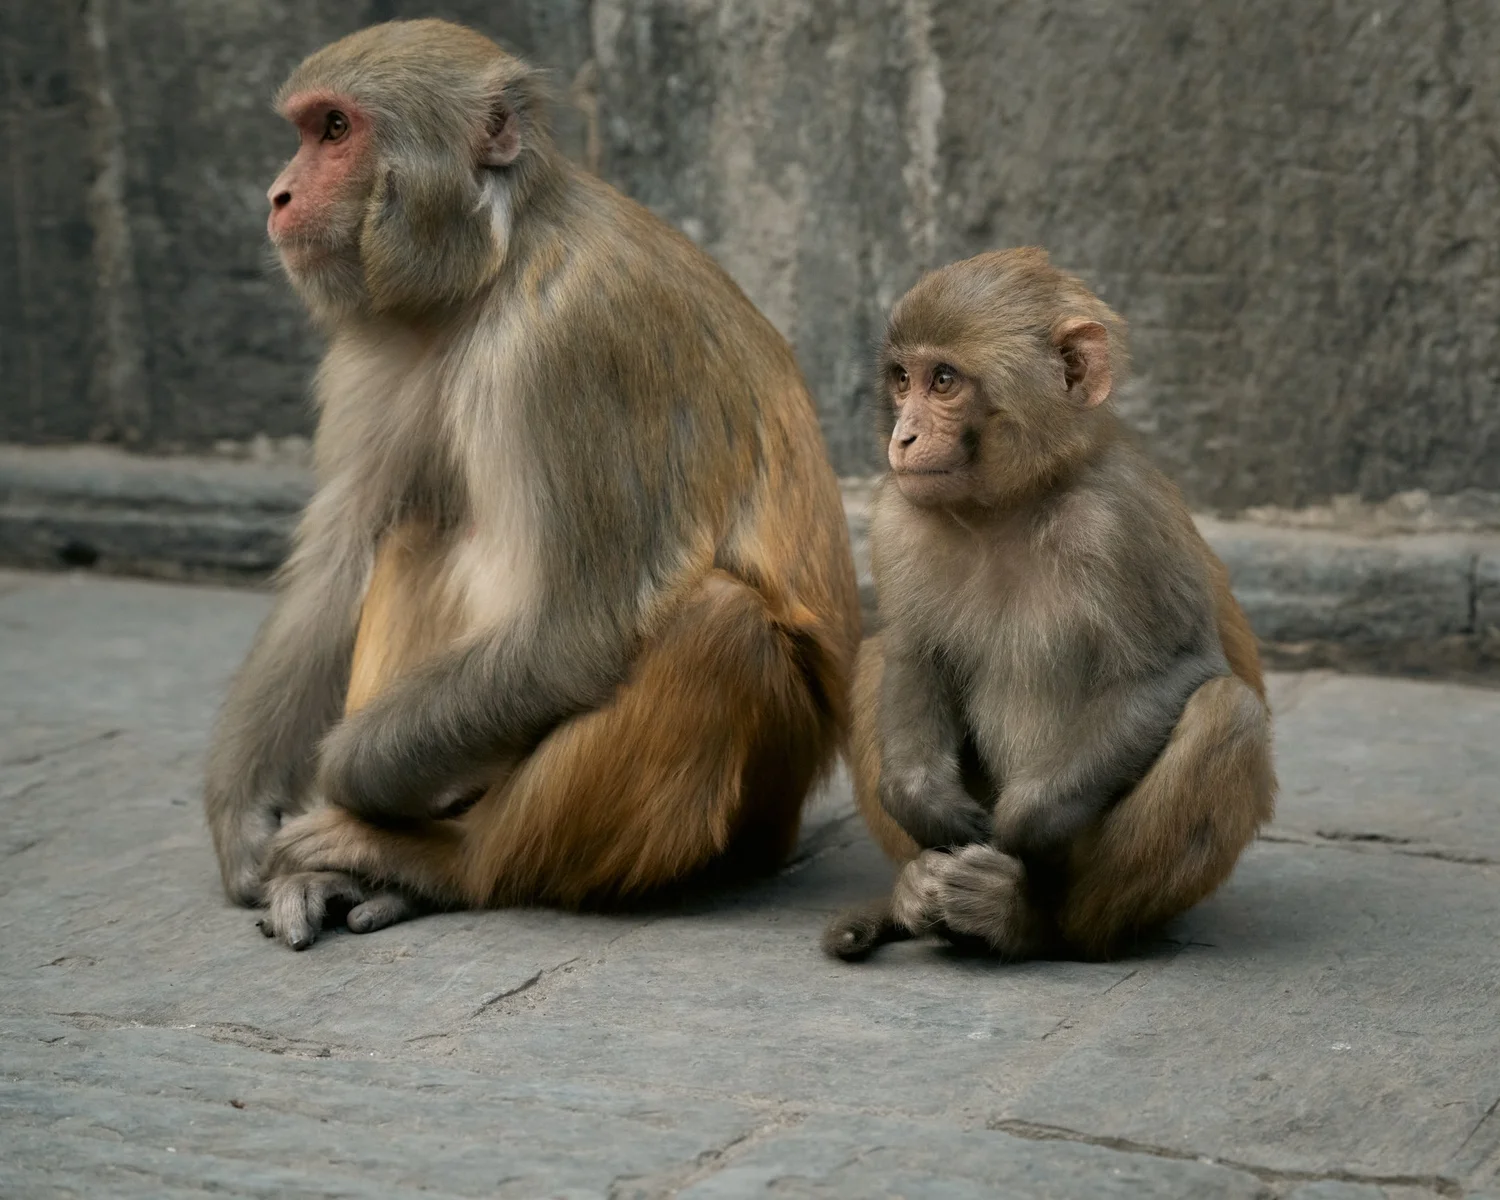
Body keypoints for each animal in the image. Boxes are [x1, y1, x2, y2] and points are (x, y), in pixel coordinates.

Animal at [201, 19, 860, 949]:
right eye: (305, 129)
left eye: (335, 129)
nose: (278, 195)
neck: (491, 266)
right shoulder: (374, 348)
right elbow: (336, 564)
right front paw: (245, 812)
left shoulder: (568, 347)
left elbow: (573, 632)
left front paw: (339, 778)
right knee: (415, 528)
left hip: (762, 801)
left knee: (720, 629)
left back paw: (440, 861)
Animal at [822, 247, 1275, 964]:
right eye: (902, 379)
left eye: (943, 380)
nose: (904, 438)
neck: (1011, 507)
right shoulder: (899, 519)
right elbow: (913, 652)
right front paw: (925, 804)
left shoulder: (1121, 523)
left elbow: (1176, 669)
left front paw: (1018, 826)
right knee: (874, 656)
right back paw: (917, 891)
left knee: (1226, 714)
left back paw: (1024, 920)